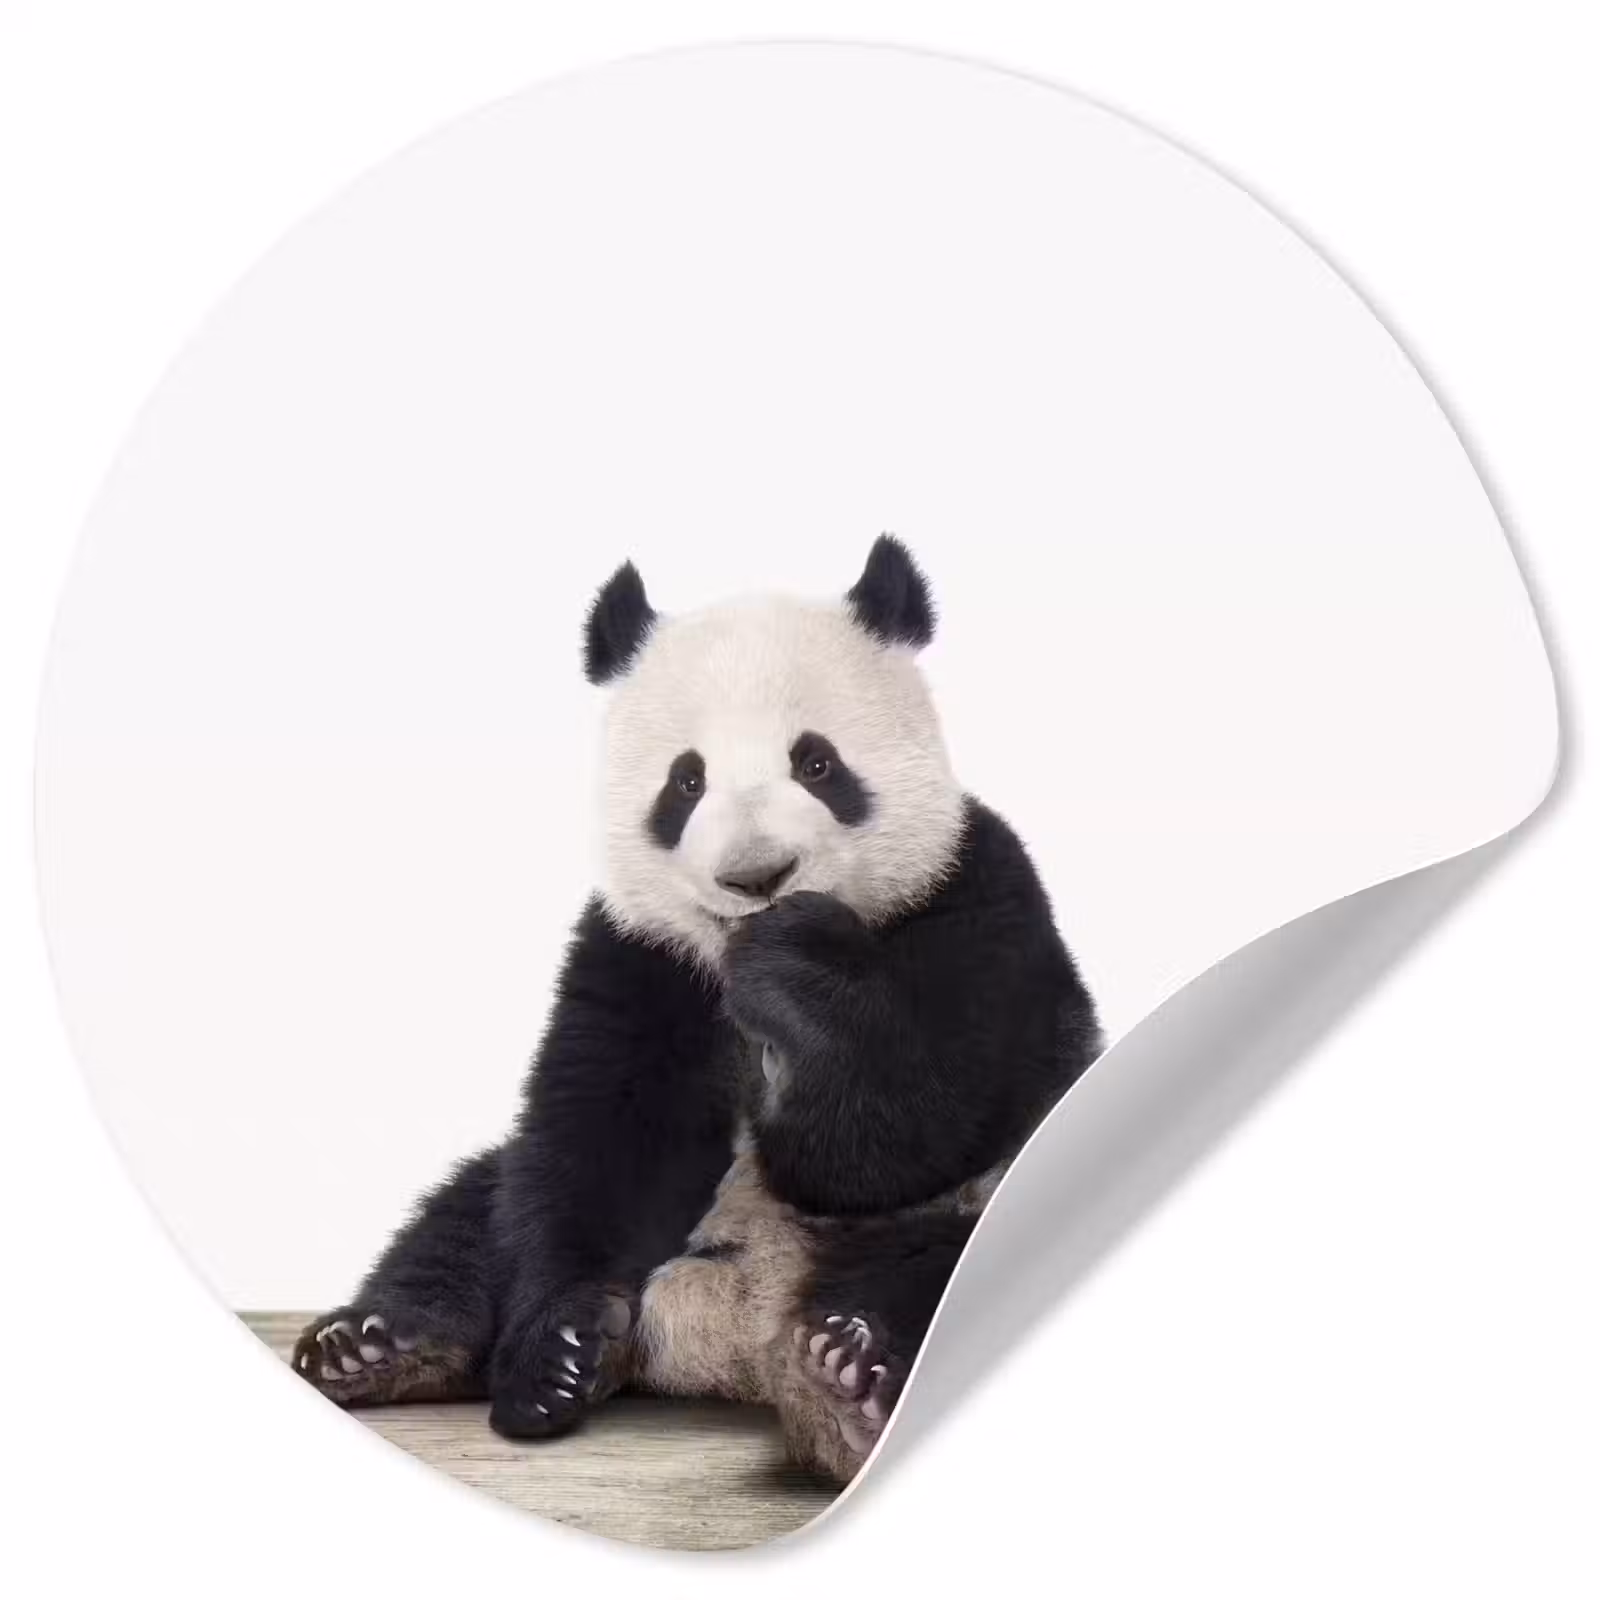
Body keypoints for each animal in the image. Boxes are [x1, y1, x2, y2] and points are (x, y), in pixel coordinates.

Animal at [293, 536, 1102, 1483]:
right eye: (685, 782)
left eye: (816, 764)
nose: (757, 877)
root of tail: (740, 1345)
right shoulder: (639, 953)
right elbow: (604, 1136)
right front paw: (560, 1353)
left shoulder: (977, 894)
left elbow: (910, 1125)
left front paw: (797, 968)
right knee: (471, 1209)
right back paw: (379, 1346)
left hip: (989, 1194)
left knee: (948, 1260)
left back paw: (848, 1370)